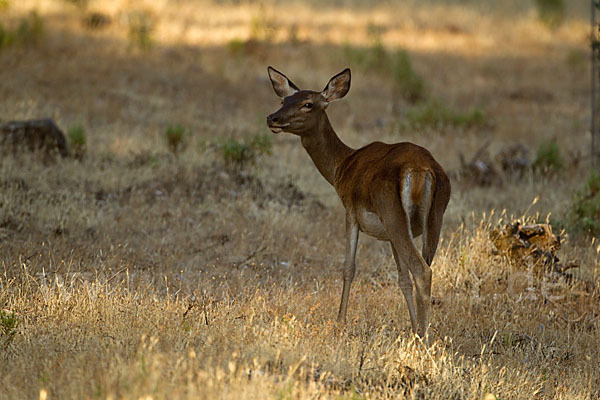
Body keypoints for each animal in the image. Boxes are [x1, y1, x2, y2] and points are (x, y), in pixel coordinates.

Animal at [268, 65, 450, 338]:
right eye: (283, 100)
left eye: (308, 104)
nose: (273, 118)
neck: (341, 168)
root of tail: (421, 171)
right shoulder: (388, 234)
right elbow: (402, 279)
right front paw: (411, 324)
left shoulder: (351, 211)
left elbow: (349, 268)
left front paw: (340, 321)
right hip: (432, 217)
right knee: (425, 266)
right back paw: (421, 331)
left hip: (392, 210)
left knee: (421, 269)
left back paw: (422, 338)